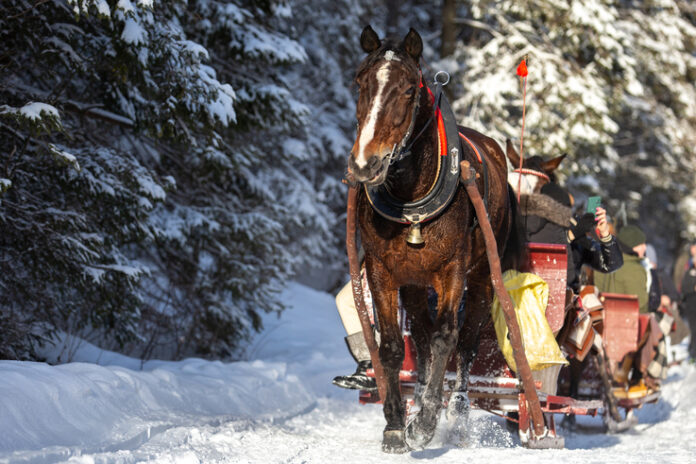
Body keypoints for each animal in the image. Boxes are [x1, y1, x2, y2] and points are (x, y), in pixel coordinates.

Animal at [350, 26, 524, 454]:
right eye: (360, 82)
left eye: (408, 89)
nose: (365, 163)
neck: (411, 199)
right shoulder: (383, 271)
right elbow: (394, 347)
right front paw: (397, 426)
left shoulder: (452, 271)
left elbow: (448, 337)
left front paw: (425, 424)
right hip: (414, 283)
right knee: (423, 339)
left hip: (481, 279)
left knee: (466, 341)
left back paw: (457, 415)